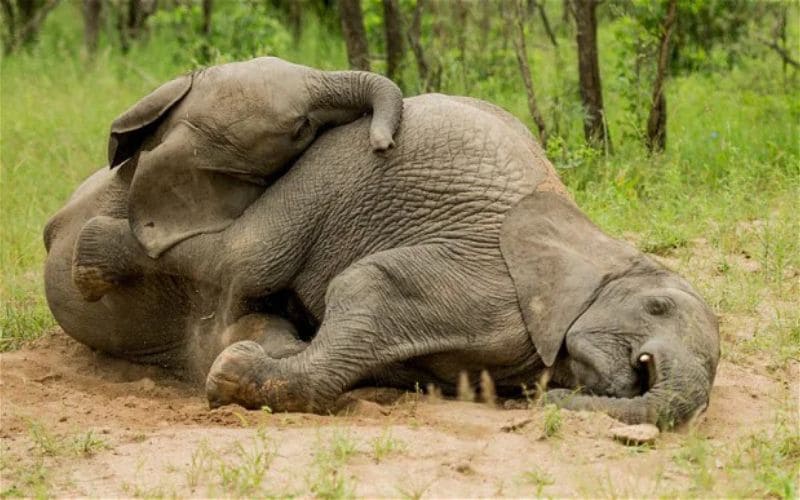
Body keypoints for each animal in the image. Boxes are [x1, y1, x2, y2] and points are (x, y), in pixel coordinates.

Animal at [66, 93, 720, 428]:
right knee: (249, 258)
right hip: (327, 173)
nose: (538, 410)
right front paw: (232, 372)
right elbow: (368, 285)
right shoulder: (491, 277)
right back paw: (91, 259)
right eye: (657, 307)